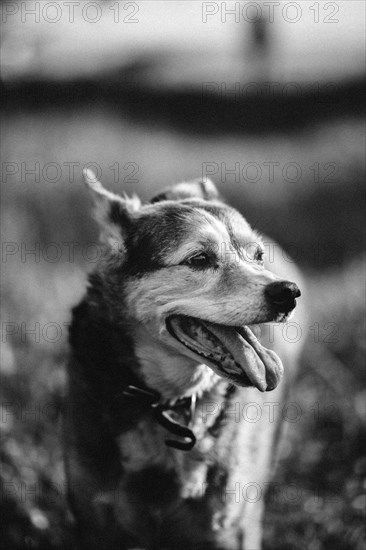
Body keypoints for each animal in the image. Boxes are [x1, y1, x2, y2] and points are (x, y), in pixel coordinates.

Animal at [63, 171, 306, 550]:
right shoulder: (95, 523)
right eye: (198, 259)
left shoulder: (229, 529)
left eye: (257, 256)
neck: (168, 401)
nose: (288, 293)